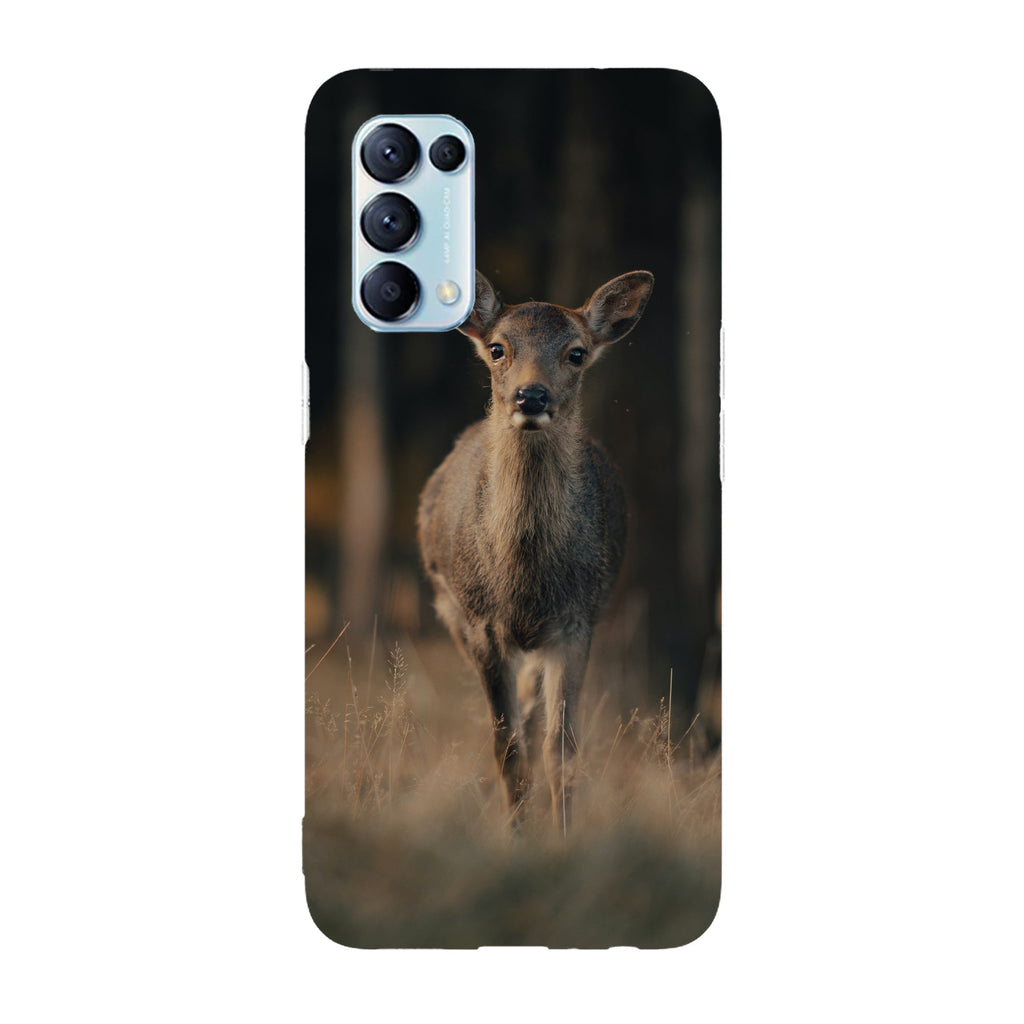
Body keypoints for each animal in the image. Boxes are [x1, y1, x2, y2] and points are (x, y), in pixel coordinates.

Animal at [417, 269, 654, 831]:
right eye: (498, 349)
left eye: (576, 353)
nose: (531, 396)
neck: (525, 582)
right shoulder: (480, 623)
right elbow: (506, 747)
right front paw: (517, 835)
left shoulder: (577, 622)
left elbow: (561, 748)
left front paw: (562, 835)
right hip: (451, 612)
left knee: (532, 714)